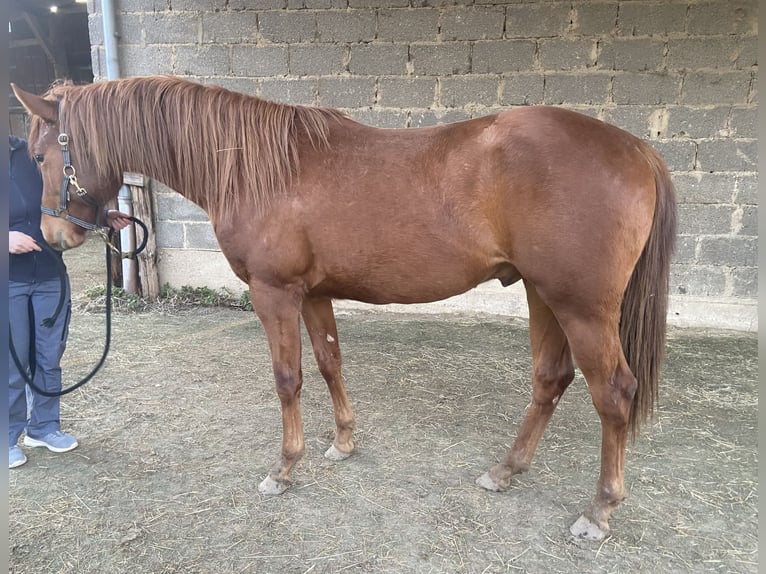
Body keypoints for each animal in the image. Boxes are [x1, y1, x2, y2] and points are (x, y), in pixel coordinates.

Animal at [12, 76, 675, 541]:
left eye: (42, 156)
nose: (52, 236)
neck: (254, 167)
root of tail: (635, 149)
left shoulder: (274, 293)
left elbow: (288, 378)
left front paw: (285, 468)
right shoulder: (314, 294)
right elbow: (330, 364)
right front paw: (343, 443)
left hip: (581, 307)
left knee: (613, 393)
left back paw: (599, 510)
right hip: (544, 295)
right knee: (550, 380)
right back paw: (506, 471)